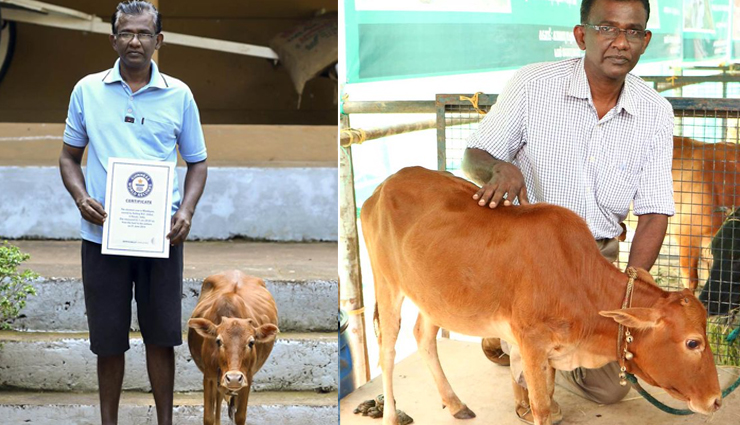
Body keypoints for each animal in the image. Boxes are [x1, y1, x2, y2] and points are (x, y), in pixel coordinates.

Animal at [188, 270, 279, 425]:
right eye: (218, 341)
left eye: (251, 342)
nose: (234, 378)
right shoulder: (209, 376)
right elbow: (209, 417)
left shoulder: (248, 377)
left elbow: (240, 416)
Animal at [361, 166, 721, 425]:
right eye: (693, 343)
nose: (716, 400)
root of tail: (383, 187)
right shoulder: (531, 346)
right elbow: (541, 408)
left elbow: (548, 398)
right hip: (386, 282)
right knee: (387, 349)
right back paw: (392, 415)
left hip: (432, 297)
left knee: (423, 335)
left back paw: (455, 403)